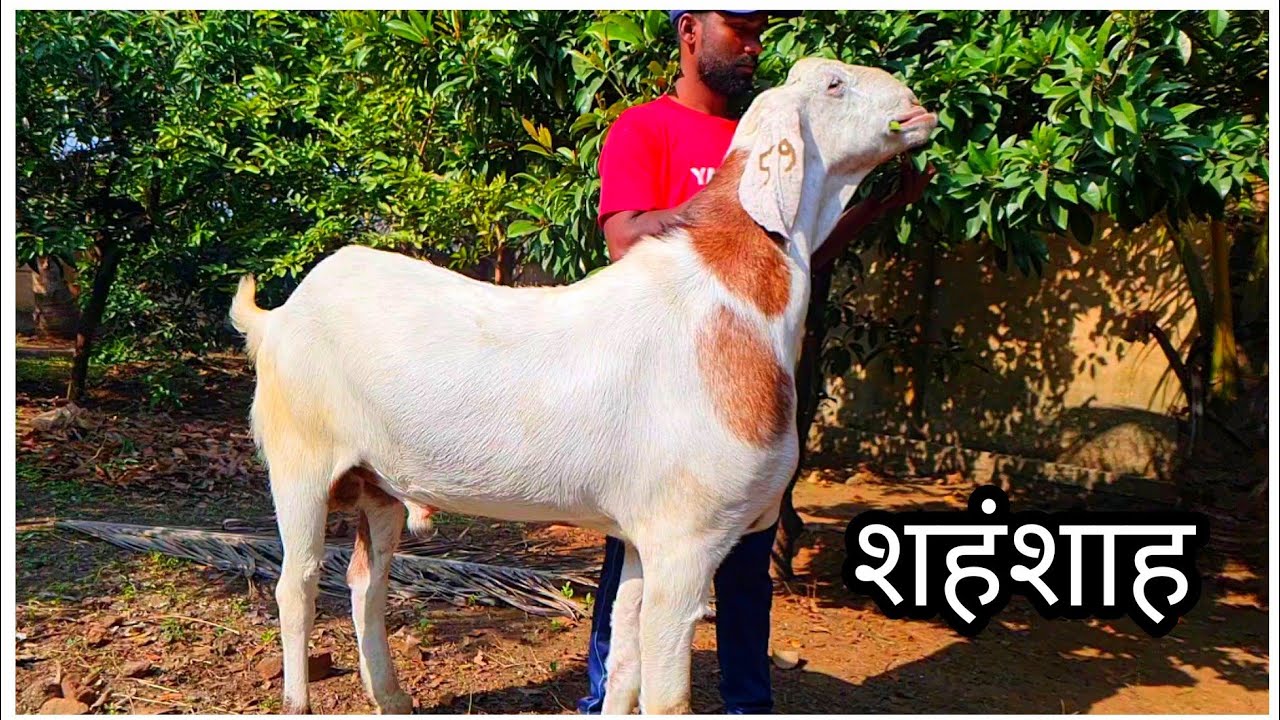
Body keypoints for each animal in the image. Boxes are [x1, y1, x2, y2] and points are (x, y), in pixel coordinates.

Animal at [230, 58, 935, 714]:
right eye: (834, 85)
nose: (916, 103)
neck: (736, 301)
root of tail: (279, 316)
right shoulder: (688, 538)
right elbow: (668, 694)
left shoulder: (642, 533)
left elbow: (622, 659)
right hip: (300, 458)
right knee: (297, 583)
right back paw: (298, 700)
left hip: (378, 483)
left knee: (364, 582)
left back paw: (392, 697)